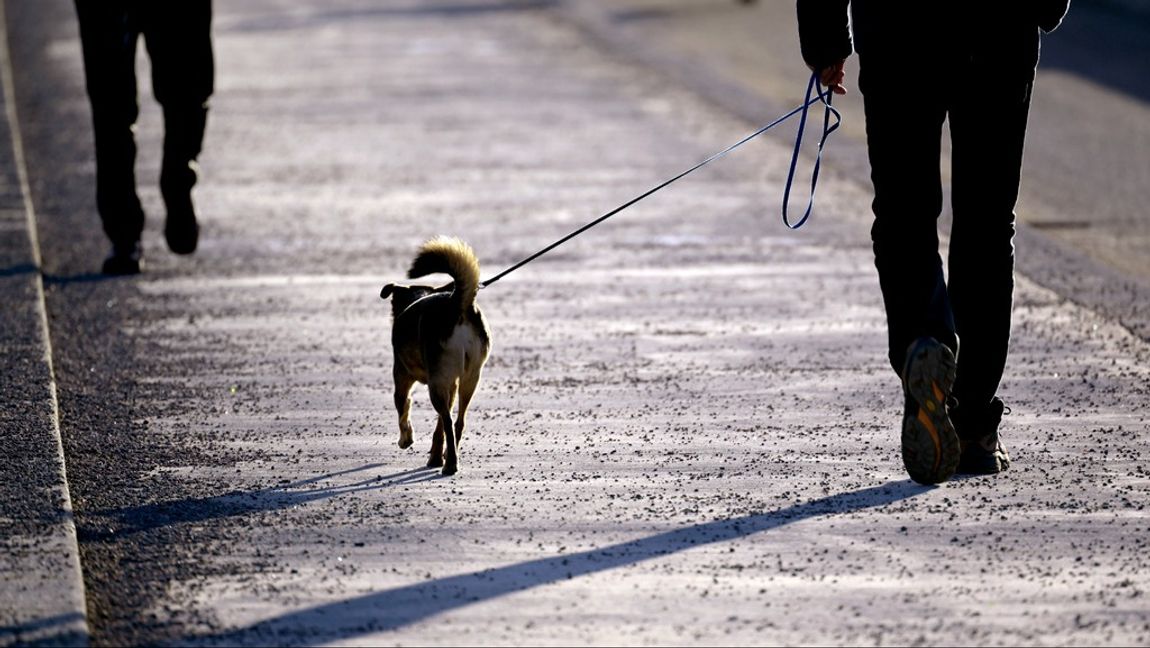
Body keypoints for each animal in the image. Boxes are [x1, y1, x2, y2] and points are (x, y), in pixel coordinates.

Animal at [374, 238, 487, 476]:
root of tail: (456, 304)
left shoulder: (401, 377)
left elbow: (403, 408)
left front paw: (406, 440)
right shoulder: (451, 383)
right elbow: (438, 428)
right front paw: (435, 456)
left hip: (436, 382)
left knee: (448, 421)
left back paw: (450, 464)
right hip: (470, 378)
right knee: (457, 421)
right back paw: (447, 457)